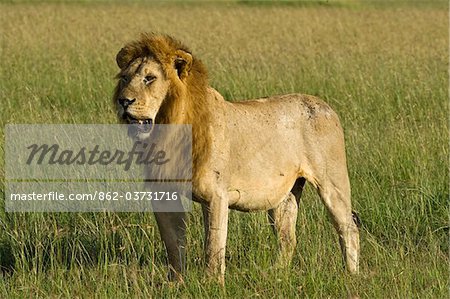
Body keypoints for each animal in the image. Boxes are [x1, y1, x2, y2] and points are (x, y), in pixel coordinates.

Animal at [114, 33, 360, 286]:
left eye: (150, 78)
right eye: (124, 78)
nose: (124, 101)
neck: (168, 130)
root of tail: (326, 105)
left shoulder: (216, 195)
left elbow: (213, 245)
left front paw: (212, 285)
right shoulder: (163, 193)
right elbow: (173, 243)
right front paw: (175, 284)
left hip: (332, 183)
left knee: (348, 227)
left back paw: (351, 275)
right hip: (285, 194)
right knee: (288, 238)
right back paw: (275, 276)